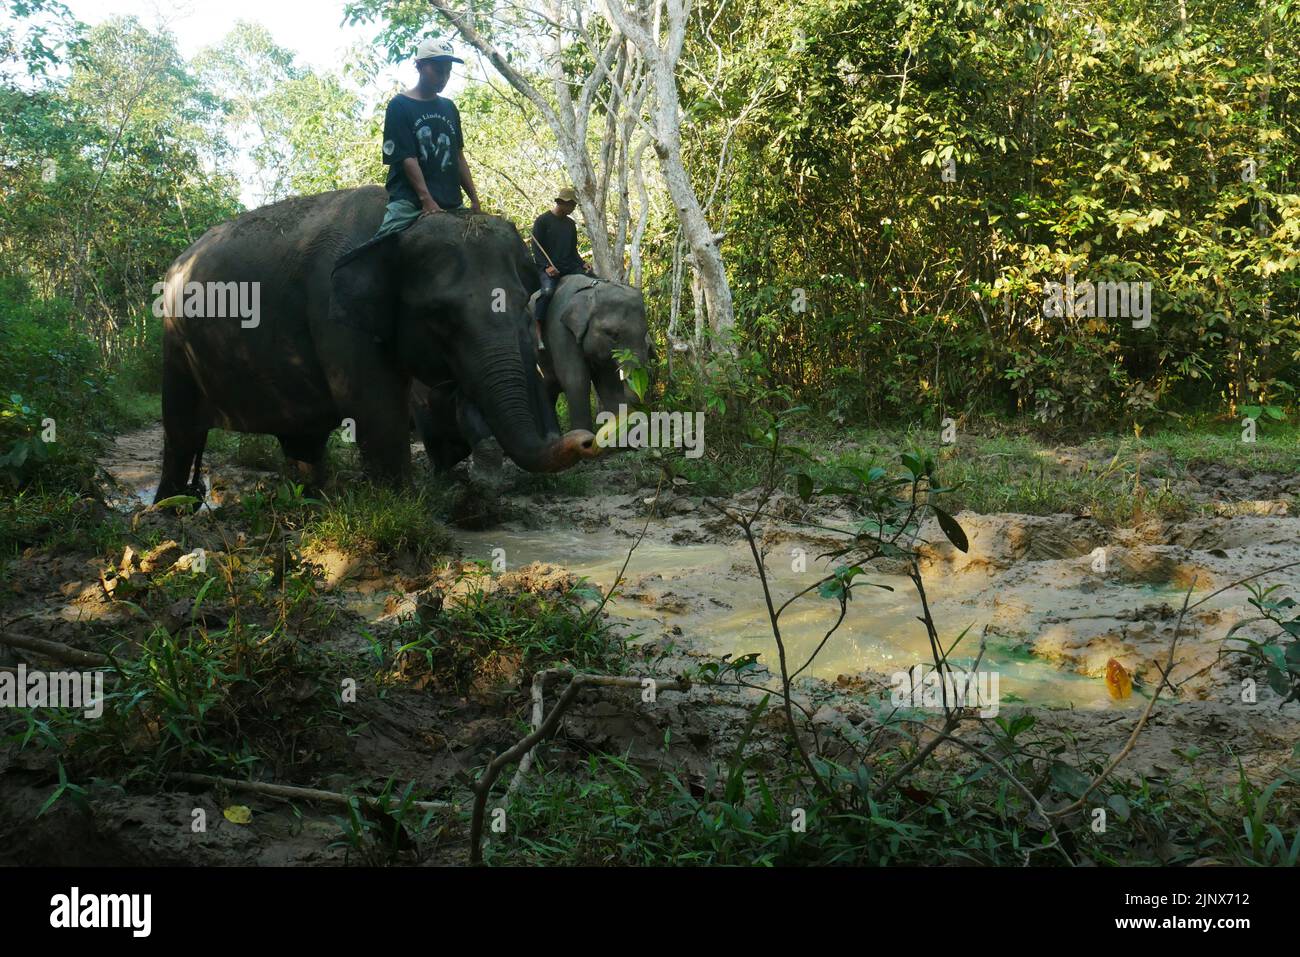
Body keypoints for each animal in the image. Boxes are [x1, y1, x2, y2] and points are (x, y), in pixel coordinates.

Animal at [157, 183, 598, 504]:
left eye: (524, 303)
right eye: (440, 315)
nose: (586, 439)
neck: (400, 226)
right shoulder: (332, 309)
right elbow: (373, 405)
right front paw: (401, 507)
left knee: (303, 439)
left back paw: (311, 502)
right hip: (175, 345)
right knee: (181, 432)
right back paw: (171, 508)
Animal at [413, 273, 655, 470]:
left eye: (645, 331)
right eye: (612, 334)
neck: (591, 290)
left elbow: (609, 386)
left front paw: (621, 444)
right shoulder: (559, 330)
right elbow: (576, 380)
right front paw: (589, 448)